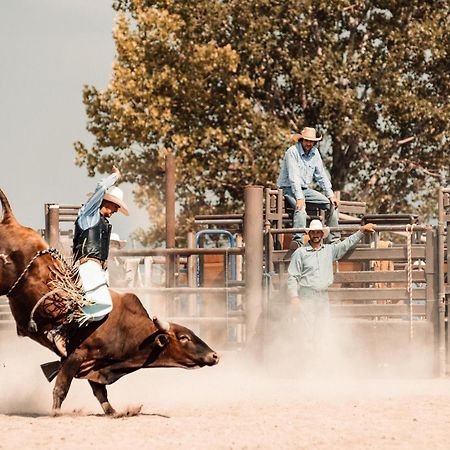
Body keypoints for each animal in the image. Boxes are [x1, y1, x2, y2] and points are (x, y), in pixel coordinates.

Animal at [0, 188, 220, 414]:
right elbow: (61, 387)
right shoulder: (76, 356)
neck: (126, 328)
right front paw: (56, 412)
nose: (214, 356)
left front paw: (115, 412)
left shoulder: (94, 365)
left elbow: (100, 392)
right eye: (184, 337)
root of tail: (11, 221)